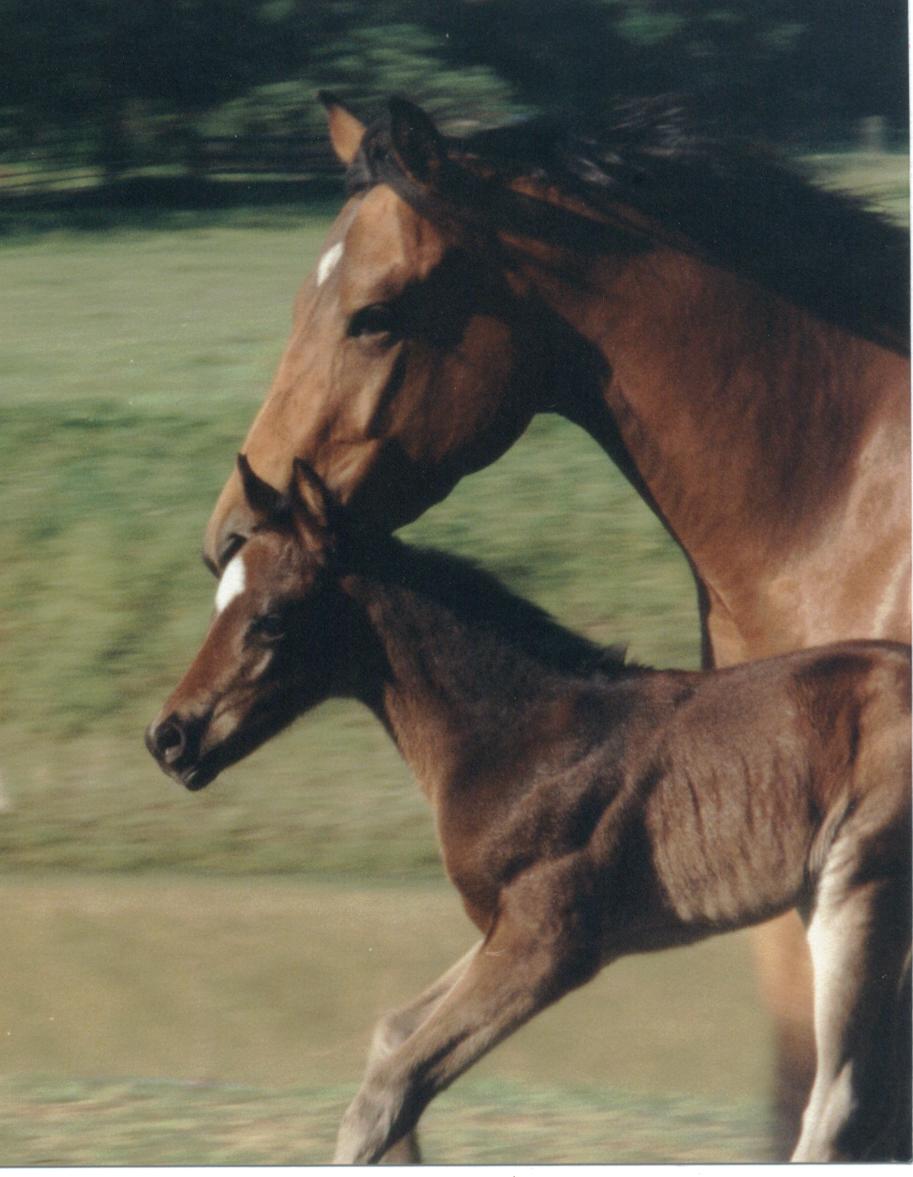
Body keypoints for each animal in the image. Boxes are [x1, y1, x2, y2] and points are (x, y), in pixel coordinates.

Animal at [146, 456, 908, 1158]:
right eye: (218, 607)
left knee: (837, 1105)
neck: (522, 735)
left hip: (857, 887)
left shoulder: (550, 941)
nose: (168, 737)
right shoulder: (501, 924)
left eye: (270, 620)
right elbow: (391, 1037)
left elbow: (386, 1092)